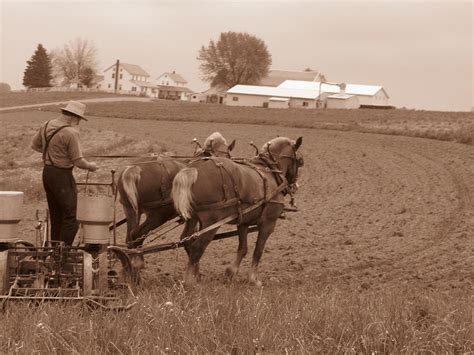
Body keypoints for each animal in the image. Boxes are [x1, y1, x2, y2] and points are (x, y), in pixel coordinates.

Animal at [171, 137, 304, 290]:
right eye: (300, 161)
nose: (295, 186)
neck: (270, 172)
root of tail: (194, 169)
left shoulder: (243, 222)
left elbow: (243, 248)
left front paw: (230, 272)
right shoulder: (268, 223)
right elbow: (258, 250)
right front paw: (253, 279)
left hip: (193, 218)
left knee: (187, 240)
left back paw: (195, 275)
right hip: (211, 222)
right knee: (197, 247)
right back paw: (189, 282)